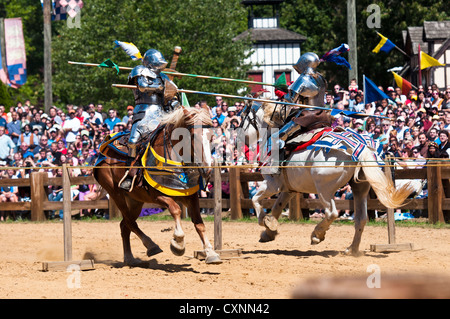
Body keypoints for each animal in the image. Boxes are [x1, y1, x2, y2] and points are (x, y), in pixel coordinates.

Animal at [94, 106, 222, 266]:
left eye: (211, 136)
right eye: (193, 136)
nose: (207, 170)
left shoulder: (191, 197)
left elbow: (199, 224)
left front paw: (211, 253)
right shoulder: (158, 196)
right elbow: (176, 210)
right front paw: (178, 243)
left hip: (135, 200)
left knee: (125, 225)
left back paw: (130, 258)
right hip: (116, 194)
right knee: (130, 222)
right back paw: (151, 246)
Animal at [237, 101, 416, 256]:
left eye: (242, 119)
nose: (238, 138)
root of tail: (360, 147)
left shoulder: (272, 184)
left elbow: (255, 199)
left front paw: (265, 221)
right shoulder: (289, 189)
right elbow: (276, 208)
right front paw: (269, 232)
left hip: (324, 189)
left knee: (332, 213)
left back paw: (317, 235)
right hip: (360, 188)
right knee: (361, 219)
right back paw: (351, 249)